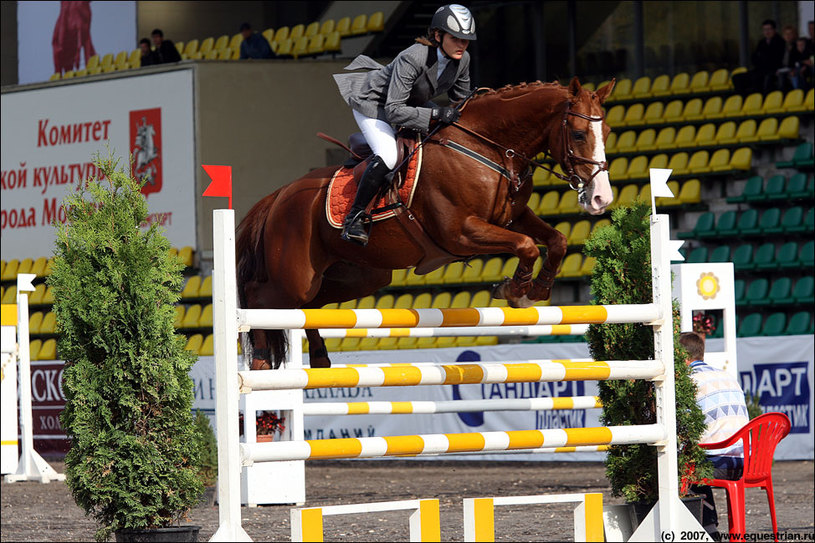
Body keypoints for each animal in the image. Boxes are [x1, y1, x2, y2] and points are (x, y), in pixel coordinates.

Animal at [239, 77, 616, 370]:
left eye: (609, 130)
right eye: (579, 134)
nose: (601, 198)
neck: (486, 147)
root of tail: (278, 196)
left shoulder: (515, 217)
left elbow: (556, 241)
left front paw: (537, 288)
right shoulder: (460, 233)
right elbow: (526, 246)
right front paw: (515, 289)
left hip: (361, 276)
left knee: (310, 305)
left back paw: (319, 358)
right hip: (296, 276)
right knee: (260, 299)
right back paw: (260, 360)